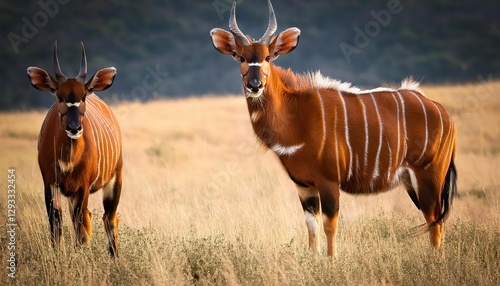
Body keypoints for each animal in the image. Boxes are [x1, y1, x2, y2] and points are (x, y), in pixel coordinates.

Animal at [27, 40, 122, 256]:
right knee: (88, 218)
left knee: (109, 218)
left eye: (83, 97)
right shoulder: (50, 183)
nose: (74, 127)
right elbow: (56, 222)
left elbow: (80, 227)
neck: (68, 159)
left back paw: (114, 257)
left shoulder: (83, 187)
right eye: (60, 97)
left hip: (115, 179)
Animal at [210, 0, 458, 255]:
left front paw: (331, 260)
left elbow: (330, 226)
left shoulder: (329, 181)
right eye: (240, 57)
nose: (255, 85)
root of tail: (444, 114)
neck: (297, 115)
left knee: (435, 222)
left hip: (429, 176)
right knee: (437, 222)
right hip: (413, 181)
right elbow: (311, 226)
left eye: (269, 57)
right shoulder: (304, 185)